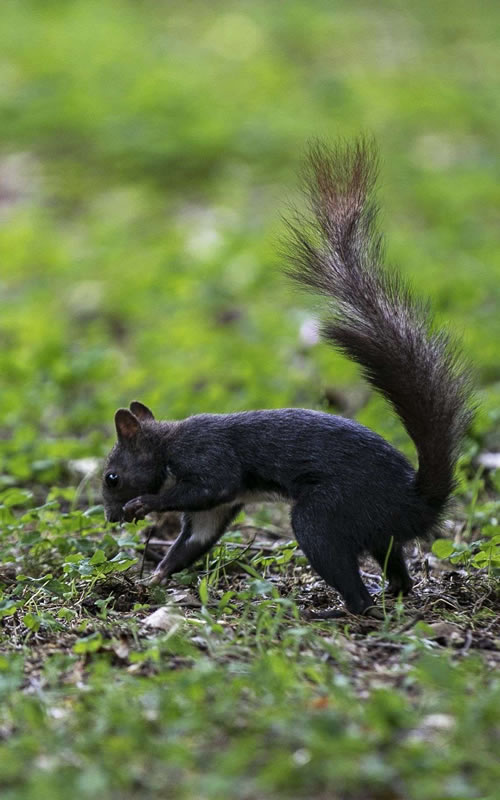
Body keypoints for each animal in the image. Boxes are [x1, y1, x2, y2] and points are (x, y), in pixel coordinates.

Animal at [100, 138, 472, 616]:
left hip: (324, 516)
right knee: (395, 566)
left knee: (351, 584)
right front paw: (154, 579)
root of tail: (416, 503)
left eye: (112, 477)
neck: (166, 443)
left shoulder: (207, 458)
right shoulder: (216, 508)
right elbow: (193, 540)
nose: (110, 516)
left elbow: (210, 484)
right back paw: (393, 593)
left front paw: (145, 504)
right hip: (378, 532)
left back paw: (339, 609)